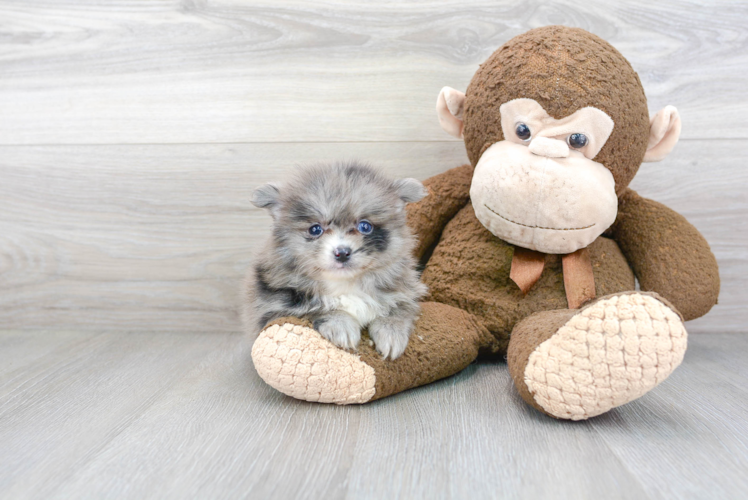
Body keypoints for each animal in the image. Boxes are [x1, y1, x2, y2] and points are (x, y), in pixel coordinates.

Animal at [245, 161, 426, 360]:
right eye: (315, 229)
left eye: (365, 226)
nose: (342, 253)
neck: (346, 284)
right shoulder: (272, 308)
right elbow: (317, 309)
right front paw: (341, 324)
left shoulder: (405, 291)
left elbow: (400, 308)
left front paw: (391, 333)